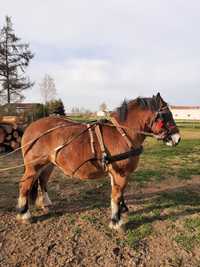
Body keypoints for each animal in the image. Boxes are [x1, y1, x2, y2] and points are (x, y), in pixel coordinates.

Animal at [16, 93, 180, 229]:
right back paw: (25, 214)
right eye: (166, 115)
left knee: (42, 181)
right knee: (25, 185)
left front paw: (121, 212)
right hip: (33, 166)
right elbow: (116, 196)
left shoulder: (115, 173)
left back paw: (45, 203)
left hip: (47, 165)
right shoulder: (121, 174)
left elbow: (117, 194)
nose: (177, 138)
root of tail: (30, 127)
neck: (121, 134)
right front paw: (116, 222)